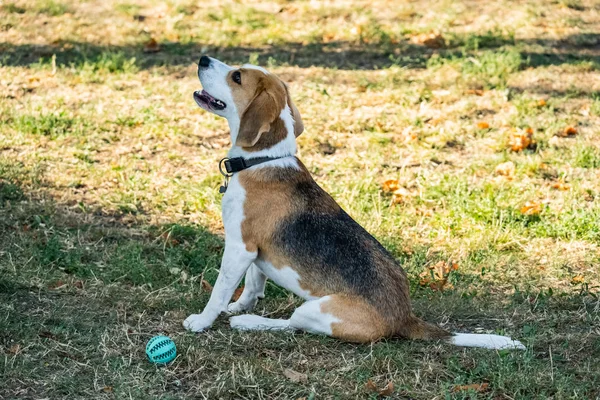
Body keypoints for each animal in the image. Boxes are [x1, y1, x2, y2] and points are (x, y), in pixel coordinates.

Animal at [184, 56, 524, 350]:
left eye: (237, 77)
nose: (202, 59)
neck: (263, 159)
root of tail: (405, 317)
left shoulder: (240, 247)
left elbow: (220, 290)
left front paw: (203, 321)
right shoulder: (257, 251)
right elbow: (254, 285)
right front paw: (238, 306)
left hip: (317, 309)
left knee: (293, 325)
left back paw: (251, 323)